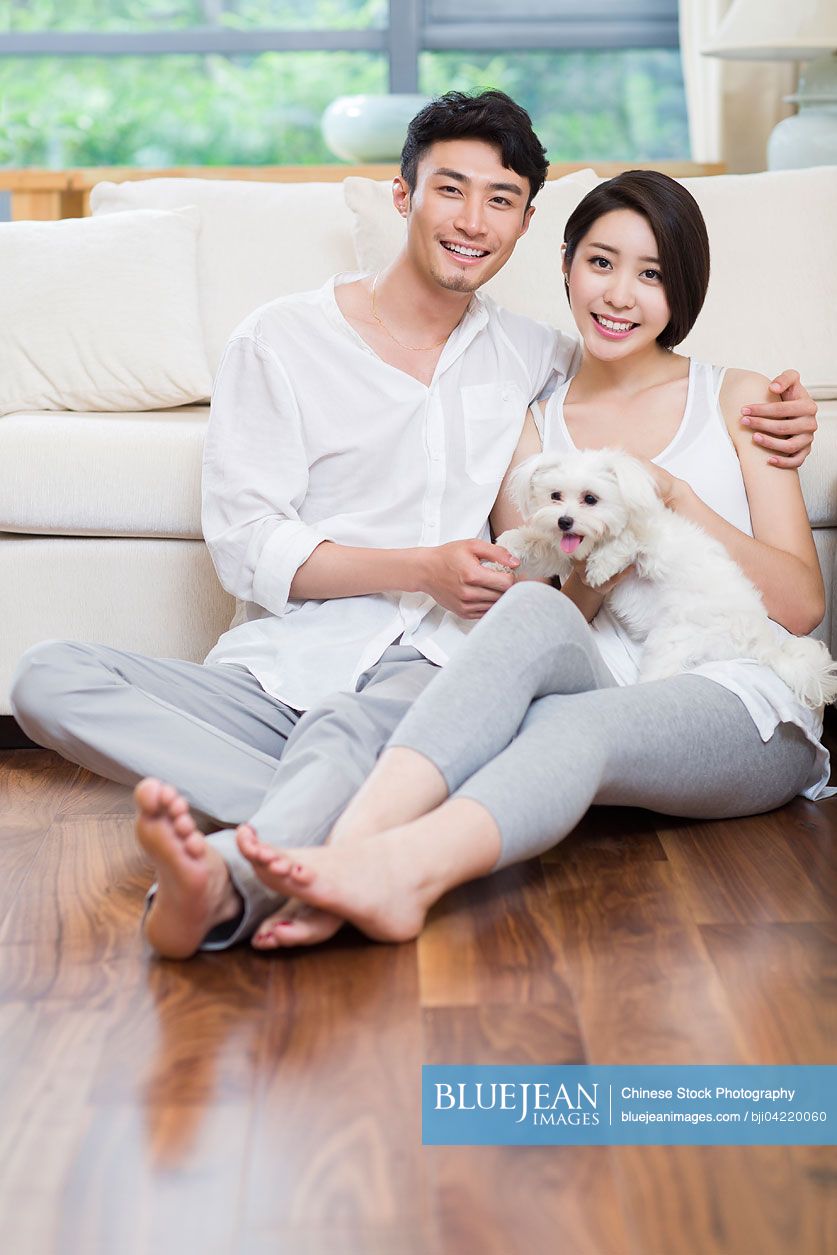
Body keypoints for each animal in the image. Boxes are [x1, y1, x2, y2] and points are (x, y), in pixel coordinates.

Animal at [491, 449, 837, 707]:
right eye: (555, 496)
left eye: (591, 499)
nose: (564, 521)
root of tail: (761, 645)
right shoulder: (563, 552)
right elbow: (540, 545)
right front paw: (509, 546)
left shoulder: (655, 545)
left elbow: (629, 540)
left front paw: (603, 564)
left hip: (672, 640)